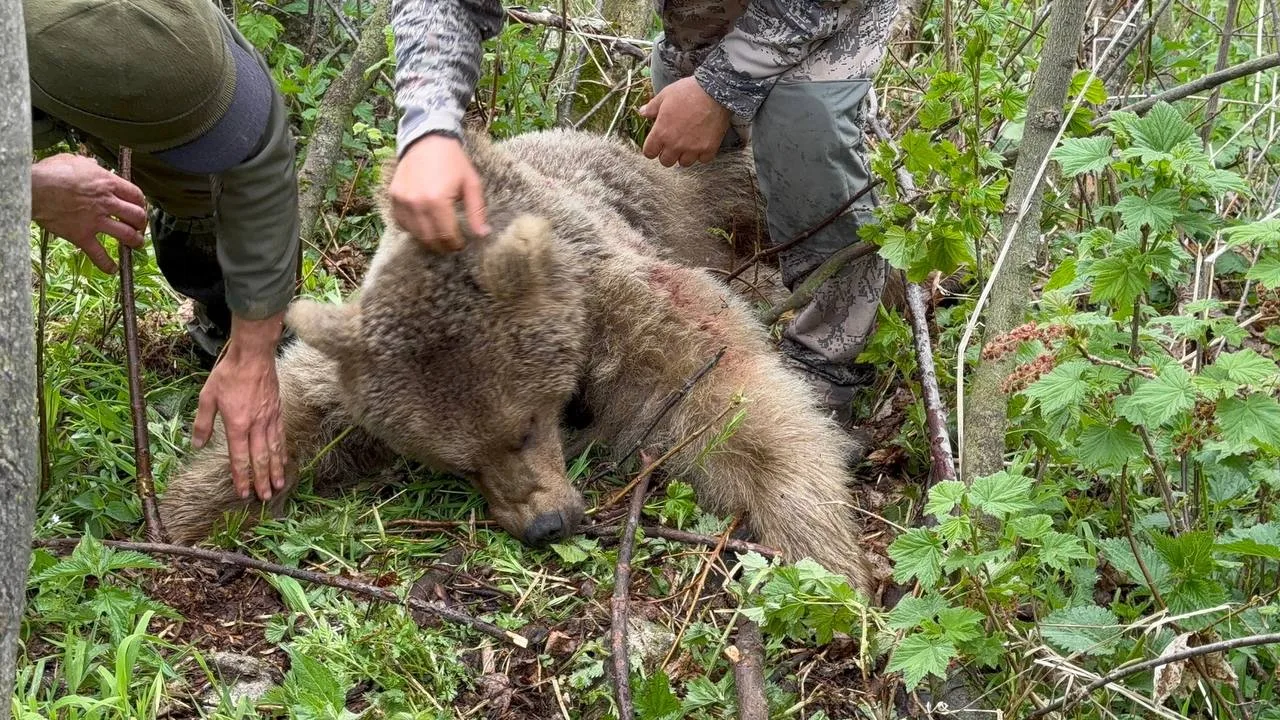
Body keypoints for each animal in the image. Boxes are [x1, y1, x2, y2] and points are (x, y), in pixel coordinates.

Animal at [157, 127, 878, 597]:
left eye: (527, 425)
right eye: (457, 462)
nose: (545, 525)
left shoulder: (614, 304)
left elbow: (725, 399)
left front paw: (823, 551)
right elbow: (298, 409)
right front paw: (190, 510)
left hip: (693, 210)